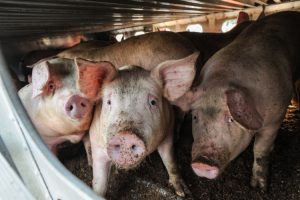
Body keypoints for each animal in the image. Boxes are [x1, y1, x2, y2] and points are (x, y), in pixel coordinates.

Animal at [152, 11, 300, 191]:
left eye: (231, 119)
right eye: (195, 117)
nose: (202, 163)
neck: (220, 83)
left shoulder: (275, 118)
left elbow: (260, 151)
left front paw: (259, 188)